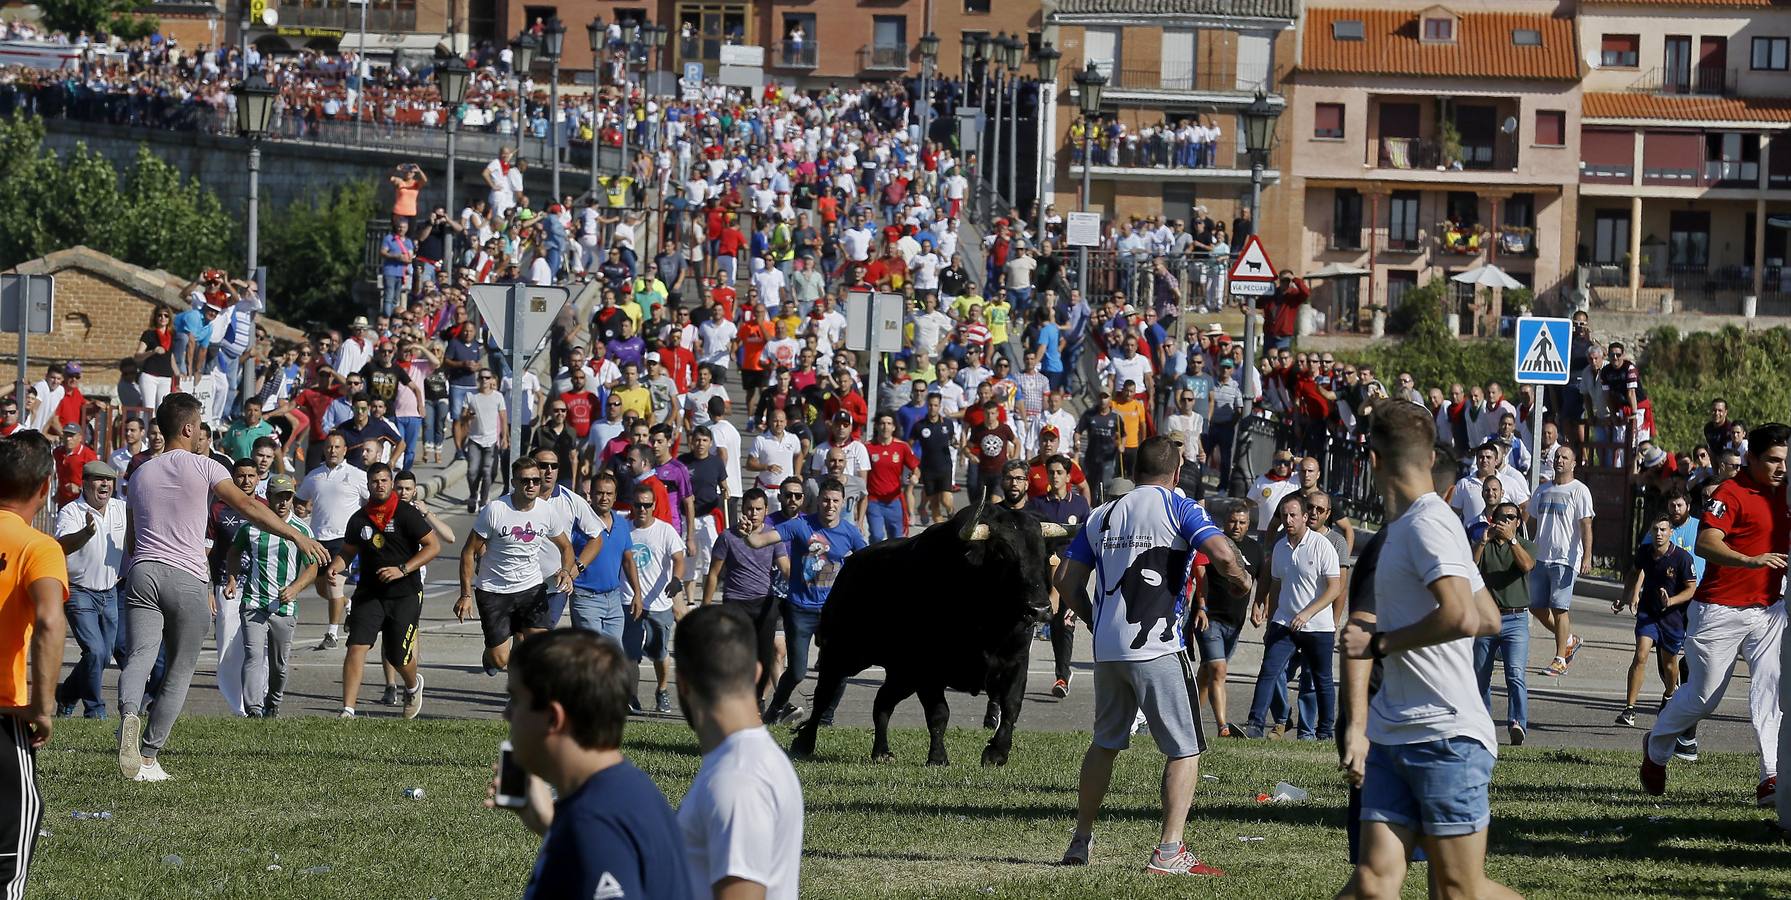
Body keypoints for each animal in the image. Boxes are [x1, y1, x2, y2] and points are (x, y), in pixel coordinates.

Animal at [788, 508, 1060, 769]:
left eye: (1043, 554)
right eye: (1003, 554)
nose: (1039, 609)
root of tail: (850, 565)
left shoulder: (1016, 663)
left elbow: (1011, 706)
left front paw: (996, 753)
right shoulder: (928, 670)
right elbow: (939, 713)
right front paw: (938, 758)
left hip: (901, 674)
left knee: (882, 703)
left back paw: (881, 752)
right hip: (842, 654)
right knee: (824, 695)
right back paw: (804, 743)